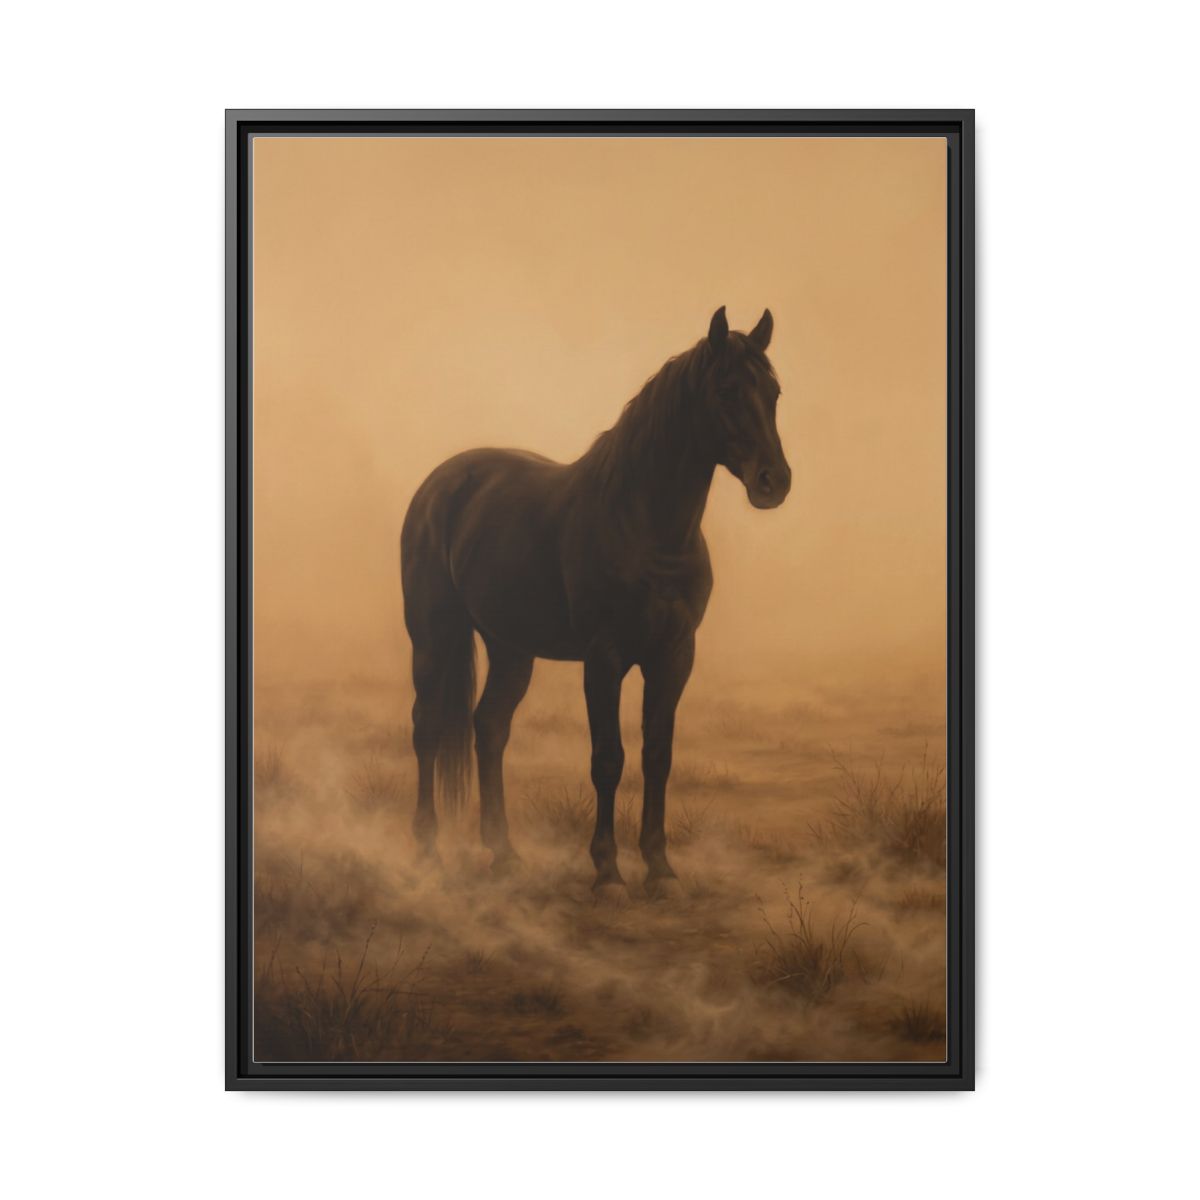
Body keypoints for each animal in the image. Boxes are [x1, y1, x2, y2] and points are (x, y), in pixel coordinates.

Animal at [400, 306, 791, 896]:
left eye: (773, 392)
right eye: (726, 390)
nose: (774, 481)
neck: (645, 527)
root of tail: (440, 484)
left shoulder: (674, 656)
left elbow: (658, 755)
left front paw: (660, 868)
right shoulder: (604, 659)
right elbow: (608, 758)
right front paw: (607, 871)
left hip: (511, 648)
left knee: (489, 728)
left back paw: (504, 853)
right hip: (433, 635)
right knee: (427, 728)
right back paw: (426, 851)